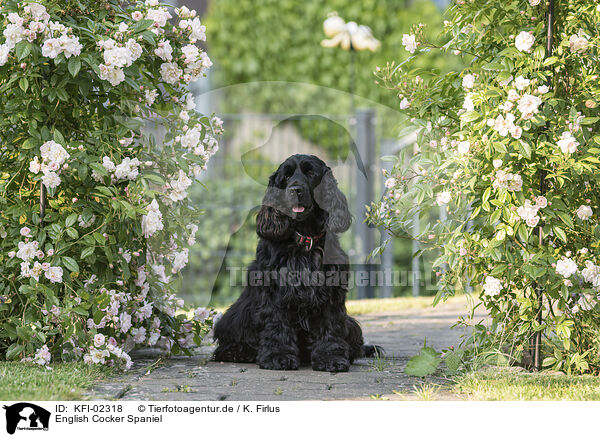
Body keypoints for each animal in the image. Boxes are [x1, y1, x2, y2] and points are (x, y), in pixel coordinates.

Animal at [212, 153, 380, 372]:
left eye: (310, 173)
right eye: (286, 176)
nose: (295, 190)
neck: (305, 239)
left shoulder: (331, 292)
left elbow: (330, 325)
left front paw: (331, 357)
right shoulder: (274, 290)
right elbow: (276, 323)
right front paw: (277, 356)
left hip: (351, 325)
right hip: (234, 316)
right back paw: (239, 352)